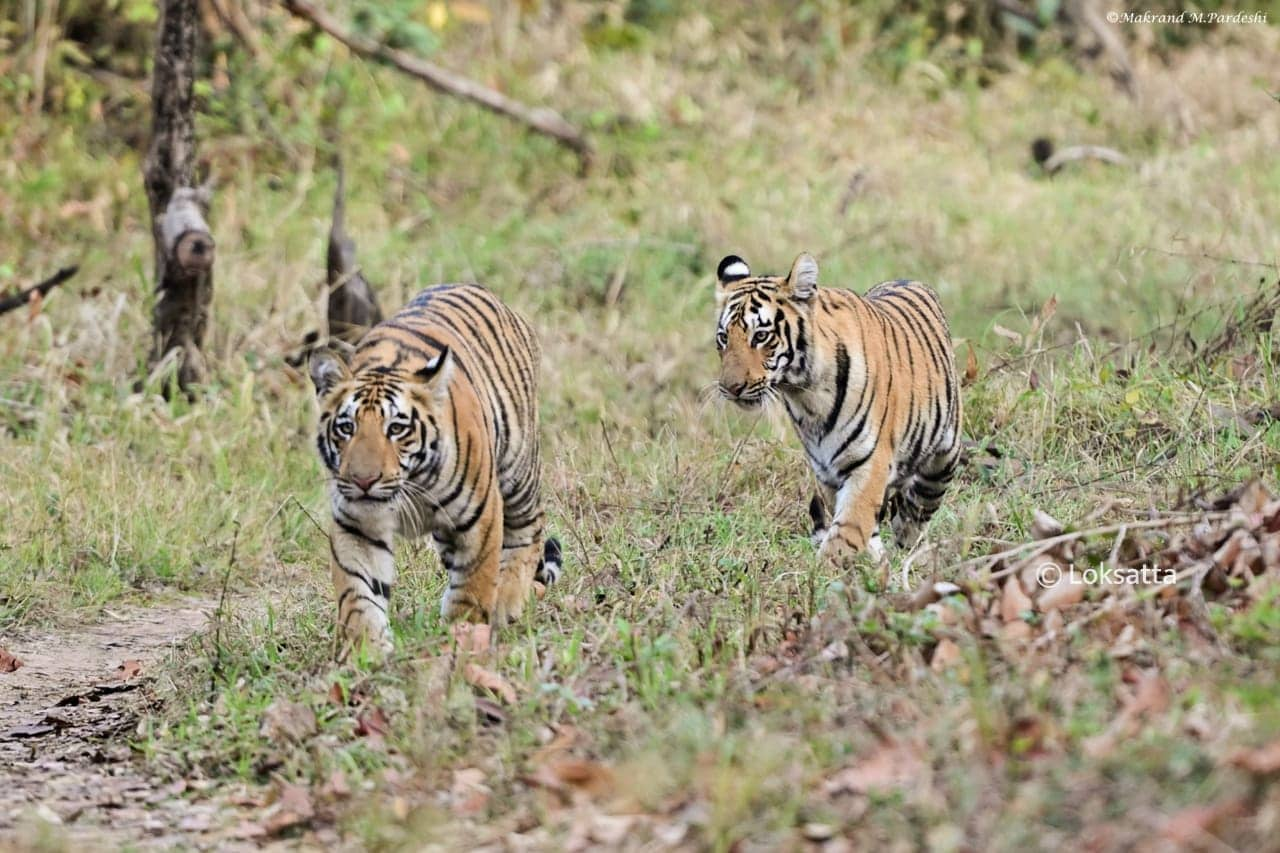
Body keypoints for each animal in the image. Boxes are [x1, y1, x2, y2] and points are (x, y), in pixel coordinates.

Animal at [308, 281, 560, 653]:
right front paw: (367, 650)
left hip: (518, 467)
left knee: (528, 531)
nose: (364, 480)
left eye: (396, 428)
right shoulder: (356, 523)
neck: (410, 484)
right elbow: (358, 591)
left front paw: (462, 637)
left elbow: (472, 586)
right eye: (346, 428)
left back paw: (508, 600)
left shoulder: (479, 517)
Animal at [711, 252, 962, 563]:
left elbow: (846, 533)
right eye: (724, 338)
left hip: (943, 457)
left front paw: (823, 571)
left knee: (919, 506)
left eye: (760, 336)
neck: (804, 395)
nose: (730, 388)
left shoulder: (868, 465)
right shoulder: (827, 472)